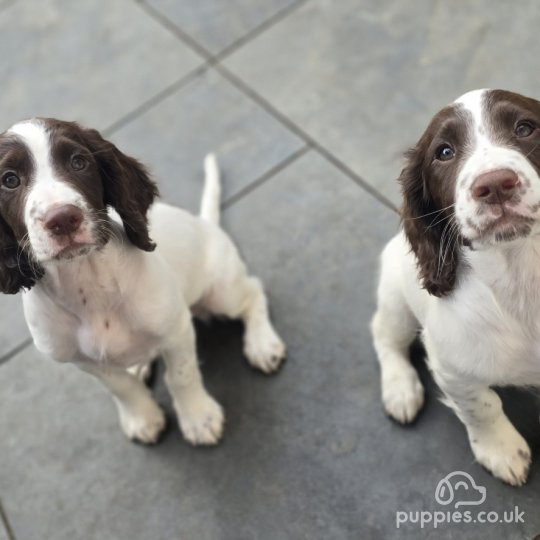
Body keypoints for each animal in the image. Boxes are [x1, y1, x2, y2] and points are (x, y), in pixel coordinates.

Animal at [372, 88, 540, 486]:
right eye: (444, 152)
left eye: (525, 128)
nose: (494, 185)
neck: (519, 269)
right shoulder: (453, 367)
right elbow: (483, 407)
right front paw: (502, 451)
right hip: (396, 301)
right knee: (383, 335)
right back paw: (401, 389)